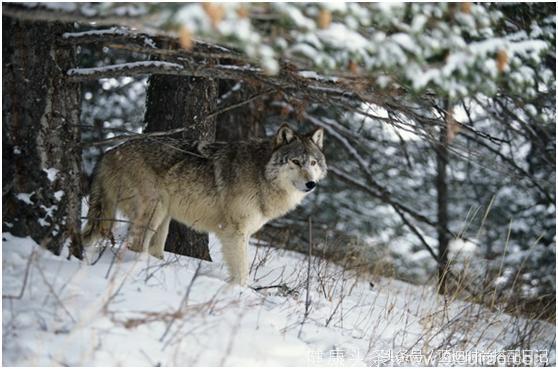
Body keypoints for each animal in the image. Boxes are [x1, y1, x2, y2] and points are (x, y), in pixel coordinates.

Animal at [83, 124, 328, 284]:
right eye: (295, 161)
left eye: (313, 163)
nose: (311, 184)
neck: (261, 174)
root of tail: (109, 152)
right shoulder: (234, 232)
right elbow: (242, 272)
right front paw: (241, 294)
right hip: (154, 210)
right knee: (134, 245)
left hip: (164, 217)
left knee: (153, 249)